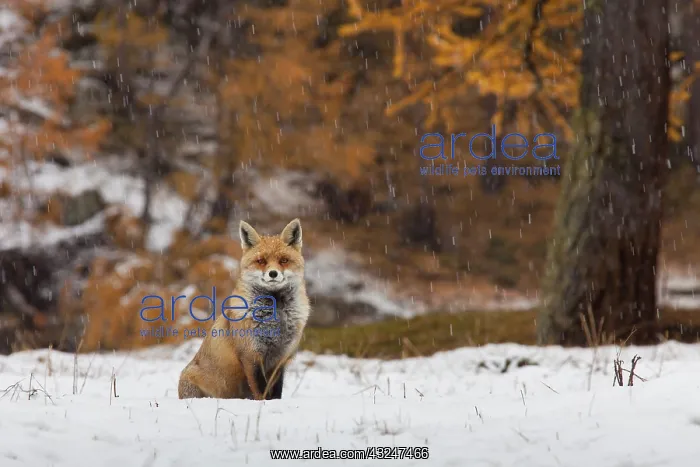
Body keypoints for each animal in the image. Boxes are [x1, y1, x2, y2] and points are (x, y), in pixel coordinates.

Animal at [178, 218, 310, 400]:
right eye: (261, 261)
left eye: (284, 260)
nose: (273, 273)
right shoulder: (251, 355)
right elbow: (261, 391)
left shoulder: (281, 358)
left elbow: (276, 392)